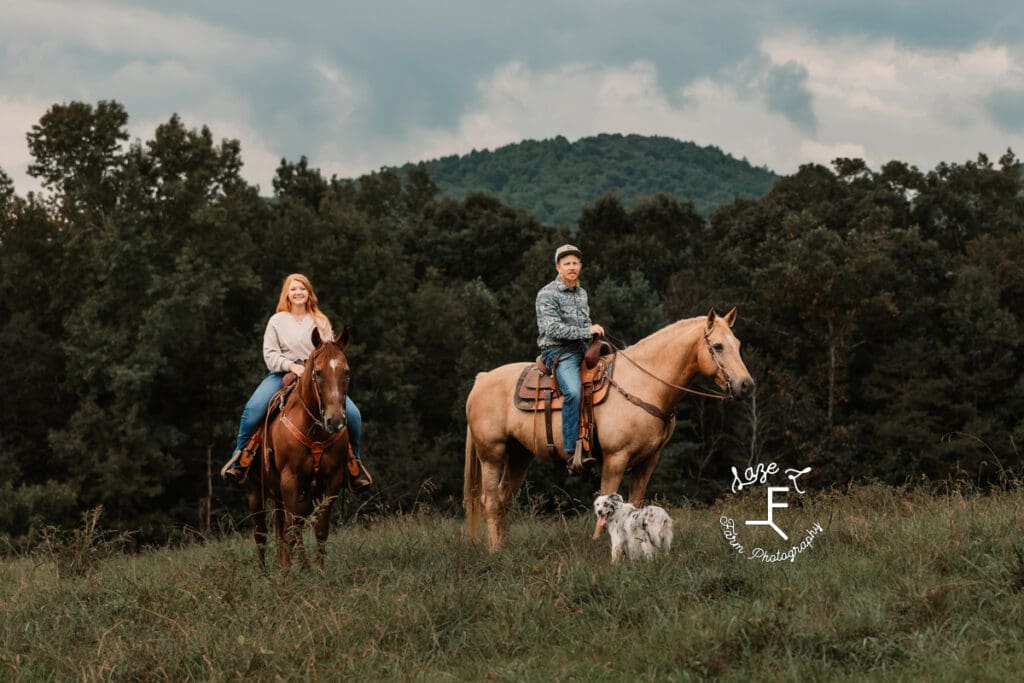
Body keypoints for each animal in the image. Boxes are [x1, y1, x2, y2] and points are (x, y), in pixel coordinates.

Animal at [247, 325, 352, 573]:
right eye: (318, 373)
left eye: (346, 372)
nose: (335, 421)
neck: (315, 431)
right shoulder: (290, 480)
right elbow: (290, 531)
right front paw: (289, 572)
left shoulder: (331, 482)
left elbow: (319, 529)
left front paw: (318, 570)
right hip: (256, 491)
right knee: (261, 532)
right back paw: (264, 573)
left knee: (291, 527)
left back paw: (297, 566)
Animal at [464, 307, 753, 552]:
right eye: (718, 346)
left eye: (738, 345)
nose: (746, 385)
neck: (644, 383)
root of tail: (482, 379)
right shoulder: (616, 458)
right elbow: (606, 502)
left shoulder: (648, 461)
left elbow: (637, 505)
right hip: (491, 454)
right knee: (490, 501)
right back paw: (495, 551)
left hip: (519, 455)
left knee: (503, 498)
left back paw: (504, 547)